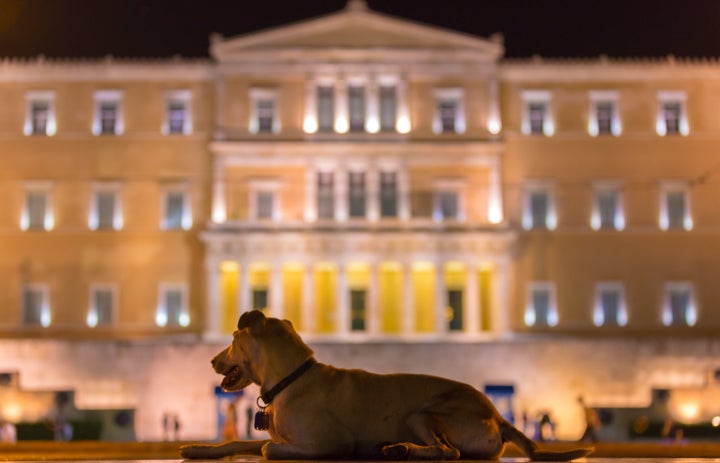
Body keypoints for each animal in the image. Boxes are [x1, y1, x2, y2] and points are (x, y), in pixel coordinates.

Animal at [180, 310, 592, 462]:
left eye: (233, 338)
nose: (211, 360)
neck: (290, 380)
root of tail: (498, 415)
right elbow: (238, 441)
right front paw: (199, 448)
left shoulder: (327, 443)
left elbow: (267, 447)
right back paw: (397, 448)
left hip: (422, 414)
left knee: (449, 453)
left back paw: (403, 450)